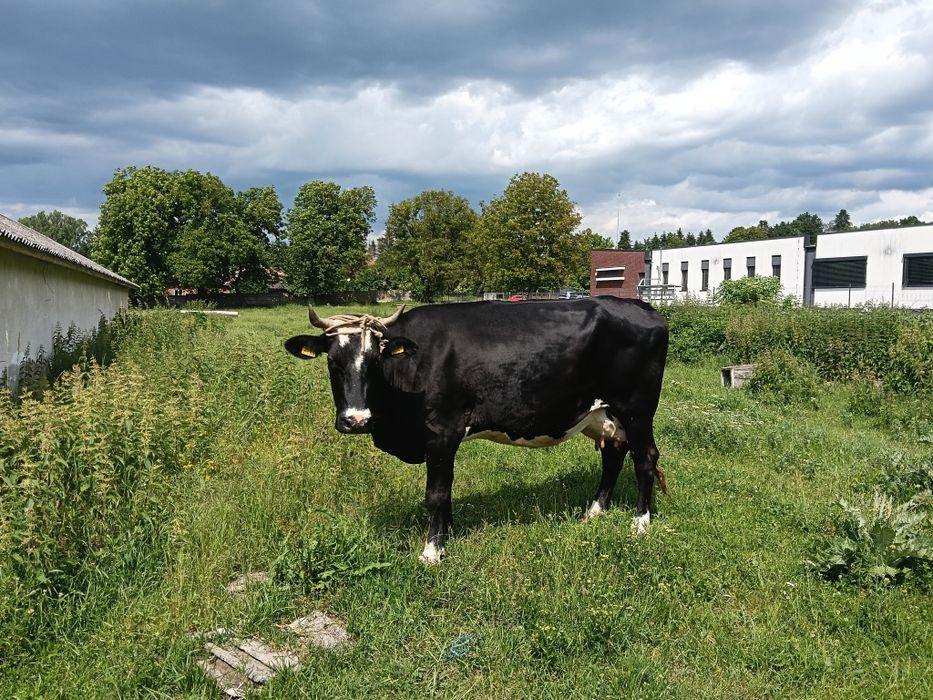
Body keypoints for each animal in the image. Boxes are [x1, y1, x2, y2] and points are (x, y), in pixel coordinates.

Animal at [284, 297, 668, 564]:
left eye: (376, 360)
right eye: (332, 362)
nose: (357, 420)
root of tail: (642, 307)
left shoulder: (442, 431)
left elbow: (436, 494)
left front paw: (431, 551)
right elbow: (447, 491)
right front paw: (446, 534)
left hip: (637, 410)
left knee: (645, 460)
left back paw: (640, 524)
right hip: (603, 414)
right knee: (613, 456)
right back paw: (594, 512)